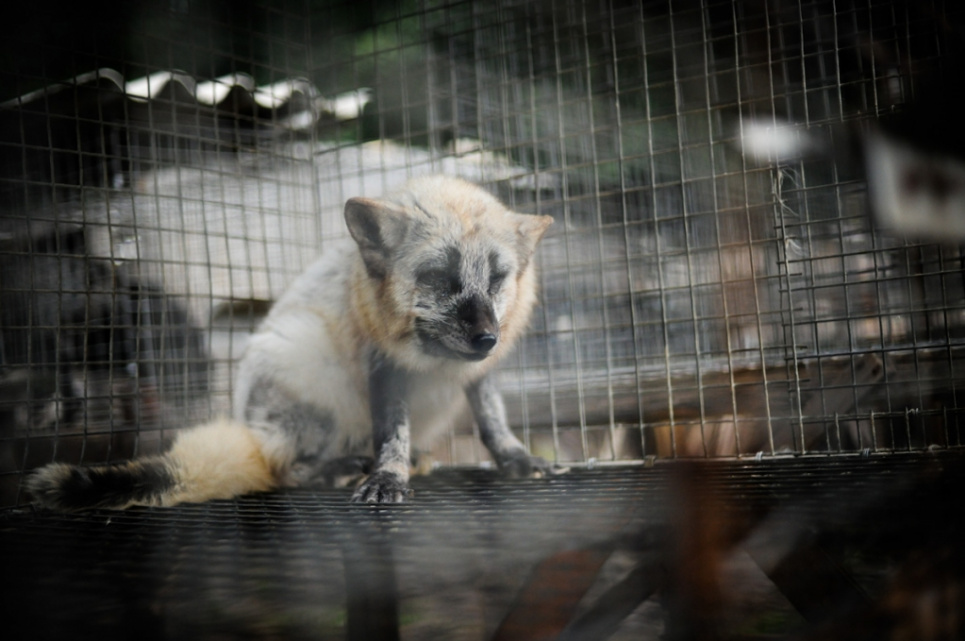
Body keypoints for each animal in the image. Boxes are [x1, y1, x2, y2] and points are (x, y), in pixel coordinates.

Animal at [26, 172, 552, 508]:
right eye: (440, 278)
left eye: (498, 278)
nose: (486, 338)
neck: (436, 363)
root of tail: (252, 433)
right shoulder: (382, 365)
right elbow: (391, 433)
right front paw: (387, 476)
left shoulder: (480, 373)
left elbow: (492, 420)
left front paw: (515, 458)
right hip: (304, 366)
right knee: (285, 471)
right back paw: (340, 467)